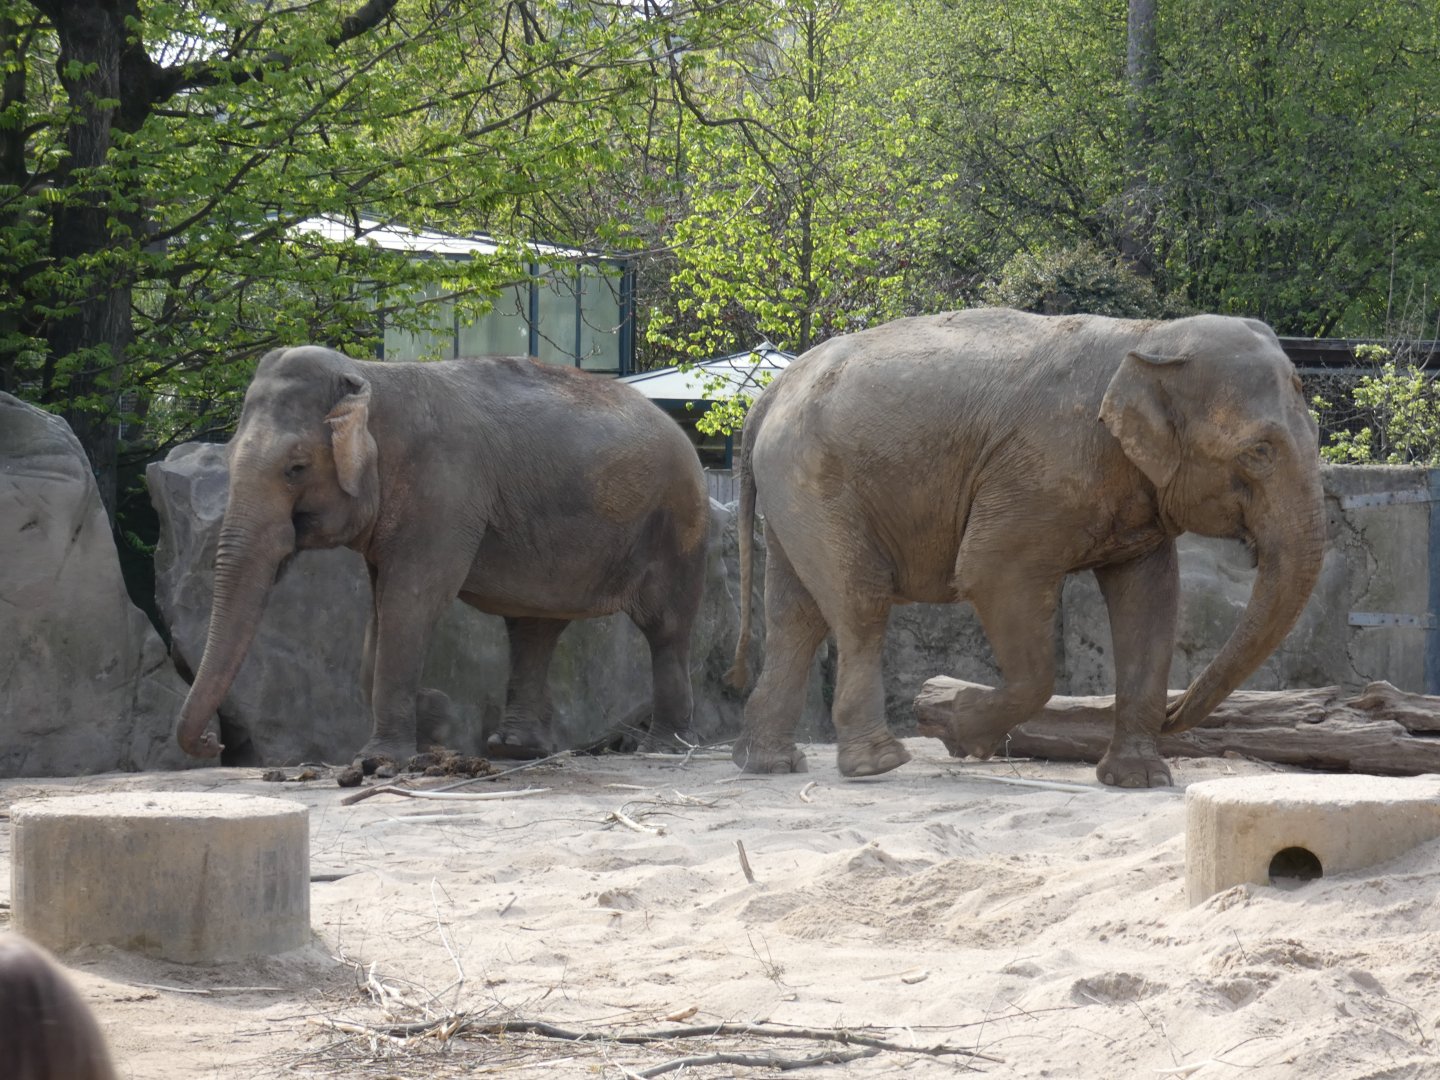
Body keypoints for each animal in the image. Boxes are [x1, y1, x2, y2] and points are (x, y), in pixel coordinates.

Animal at [175, 346, 711, 765]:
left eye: (296, 467)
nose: (213, 745)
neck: (372, 376)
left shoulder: (445, 491)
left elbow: (413, 600)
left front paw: (386, 756)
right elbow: (381, 609)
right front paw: (430, 720)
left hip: (677, 523)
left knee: (666, 627)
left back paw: (664, 748)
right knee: (533, 628)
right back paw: (515, 749)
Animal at [726, 308, 1325, 788]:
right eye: (1259, 452)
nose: (1176, 714)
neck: (1150, 336)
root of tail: (770, 394)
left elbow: (1149, 601)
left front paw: (1139, 780)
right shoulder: (1034, 474)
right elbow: (991, 576)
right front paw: (962, 728)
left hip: (793, 489)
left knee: (796, 617)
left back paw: (768, 764)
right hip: (817, 480)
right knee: (859, 603)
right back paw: (877, 764)